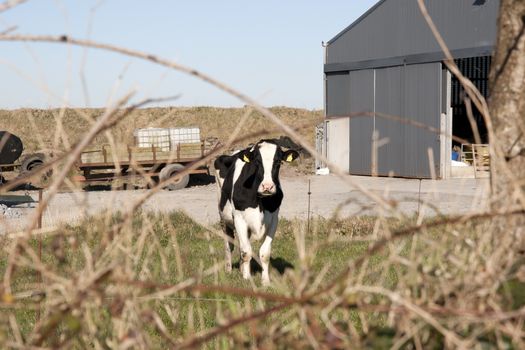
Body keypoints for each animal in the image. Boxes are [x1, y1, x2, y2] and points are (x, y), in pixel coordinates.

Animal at [214, 139, 298, 284]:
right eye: (257, 162)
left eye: (278, 162)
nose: (267, 186)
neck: (260, 202)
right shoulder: (239, 219)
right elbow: (246, 251)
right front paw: (247, 279)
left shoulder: (274, 220)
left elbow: (264, 253)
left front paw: (265, 281)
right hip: (223, 218)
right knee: (229, 245)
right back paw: (229, 270)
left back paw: (241, 269)